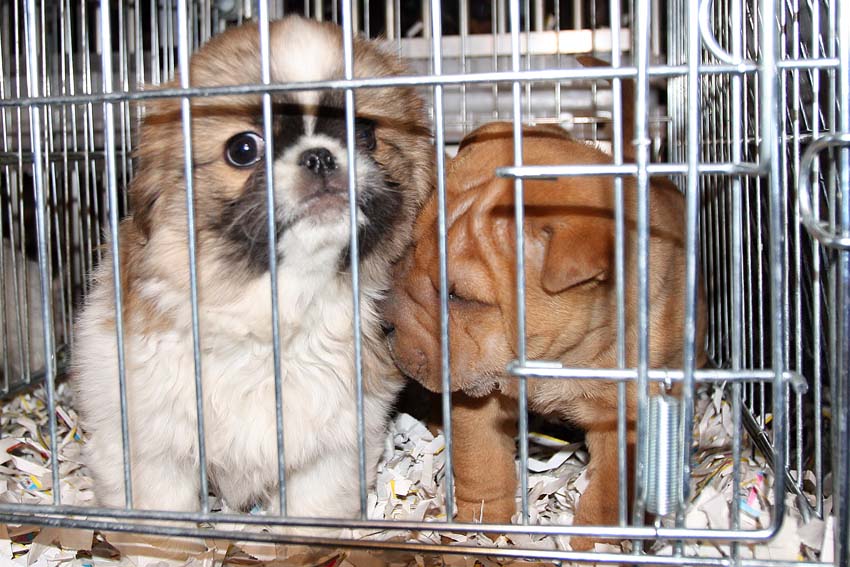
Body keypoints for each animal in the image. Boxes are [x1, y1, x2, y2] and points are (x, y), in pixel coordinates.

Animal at [70, 14, 434, 520]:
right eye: (243, 149)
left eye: (364, 133)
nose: (319, 155)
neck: (275, 308)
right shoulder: (150, 446)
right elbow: (158, 509)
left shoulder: (332, 448)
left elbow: (315, 510)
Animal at [382, 123, 704, 552]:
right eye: (412, 247)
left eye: (459, 295)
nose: (384, 321)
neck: (559, 359)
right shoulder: (479, 394)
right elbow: (481, 461)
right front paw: (481, 525)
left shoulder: (628, 418)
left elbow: (611, 490)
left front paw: (595, 544)